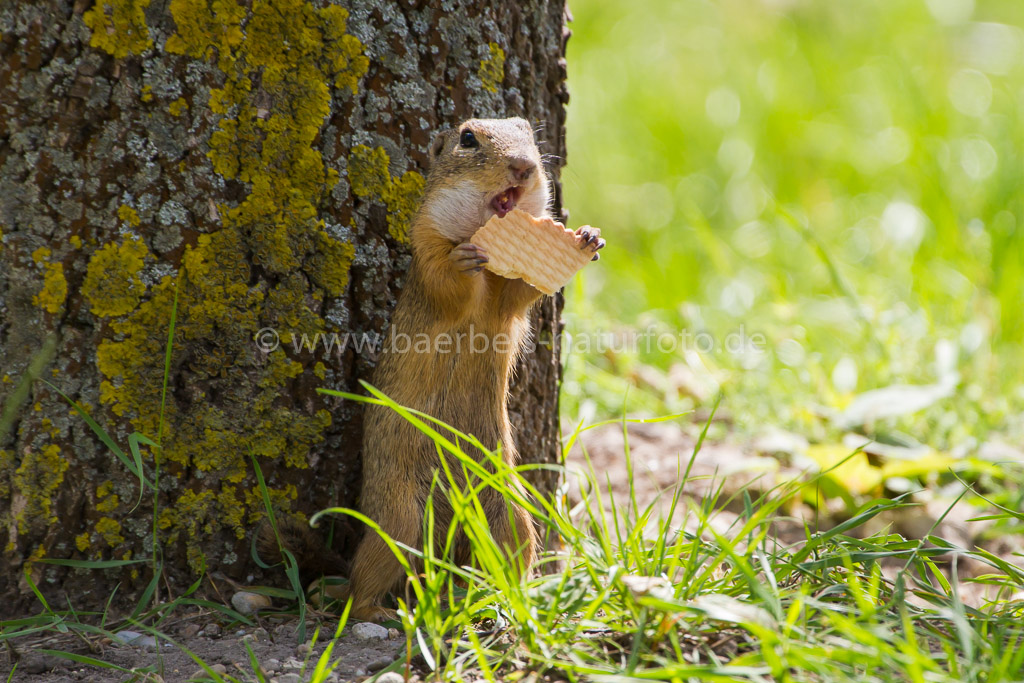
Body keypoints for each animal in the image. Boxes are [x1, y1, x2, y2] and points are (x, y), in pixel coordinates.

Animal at [260, 118, 602, 626]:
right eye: (468, 138)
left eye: (526, 131)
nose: (523, 166)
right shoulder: (425, 244)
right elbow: (446, 282)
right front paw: (463, 260)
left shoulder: (504, 302)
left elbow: (518, 293)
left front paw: (588, 237)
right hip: (399, 522)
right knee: (363, 585)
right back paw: (380, 611)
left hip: (512, 517)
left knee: (506, 558)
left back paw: (506, 597)